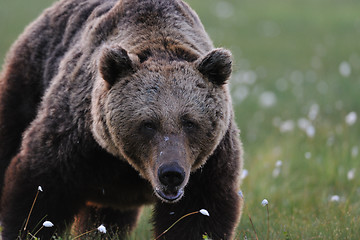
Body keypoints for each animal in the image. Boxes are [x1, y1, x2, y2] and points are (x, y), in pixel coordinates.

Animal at [0, 0, 245, 239]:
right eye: (148, 123)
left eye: (189, 122)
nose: (171, 174)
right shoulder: (76, 139)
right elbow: (41, 187)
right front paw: (25, 229)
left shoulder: (210, 164)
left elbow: (199, 214)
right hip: (28, 81)